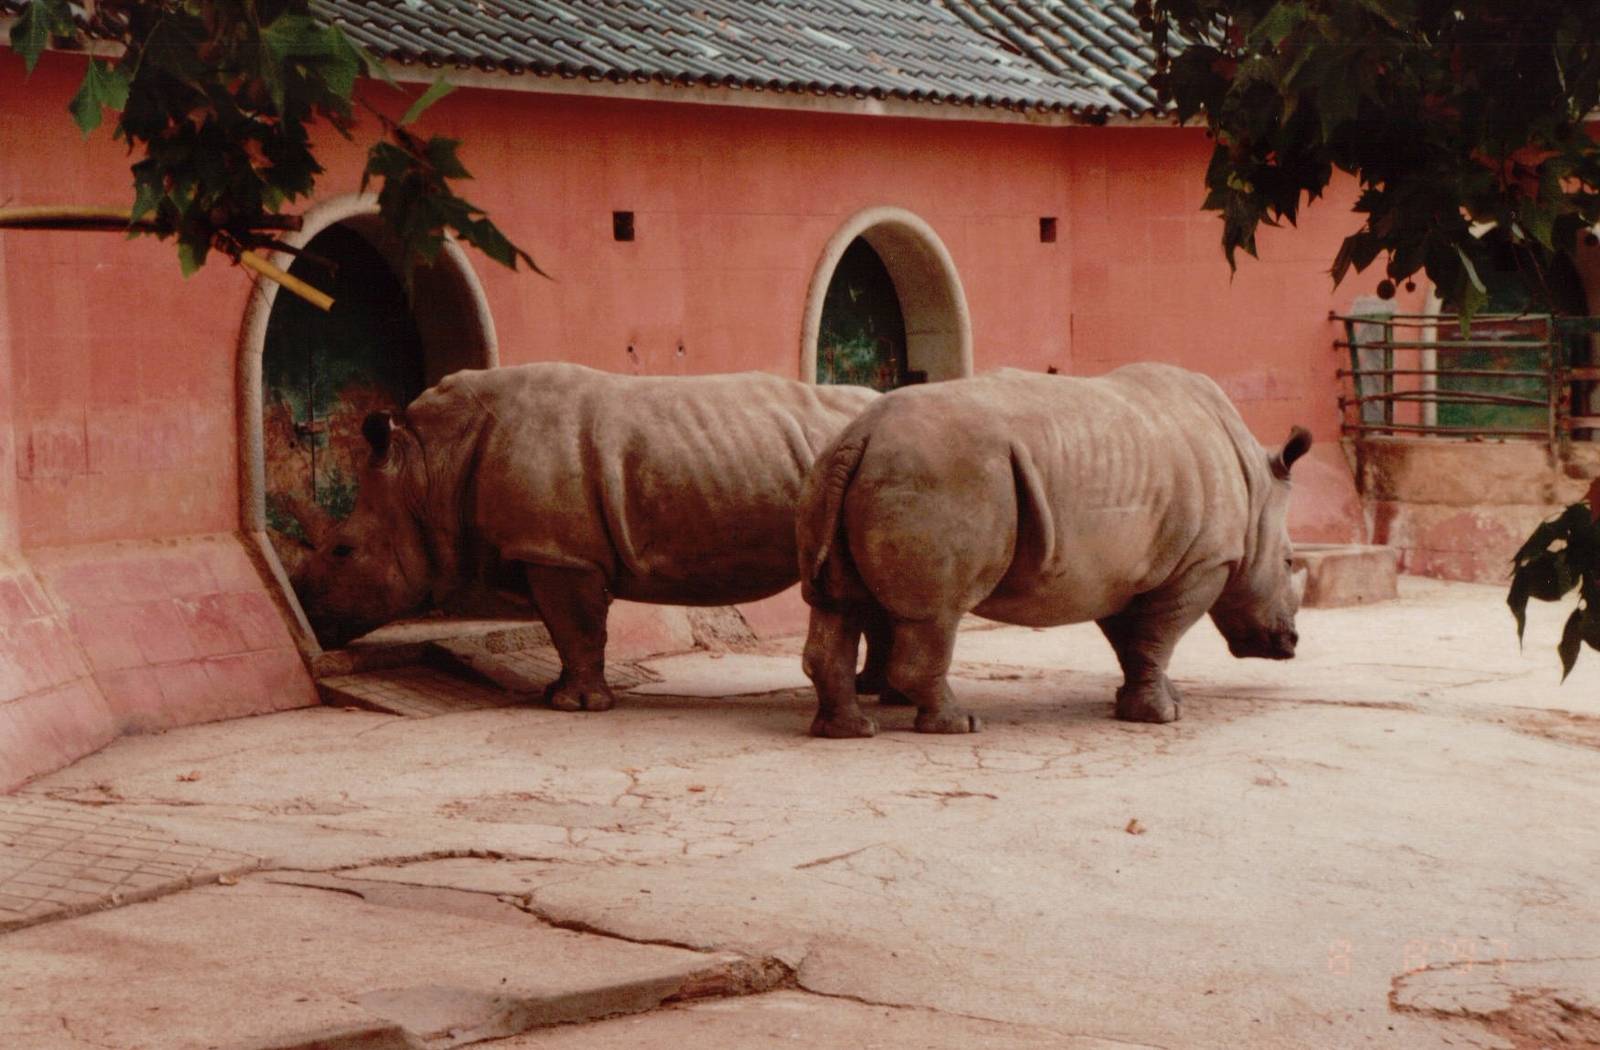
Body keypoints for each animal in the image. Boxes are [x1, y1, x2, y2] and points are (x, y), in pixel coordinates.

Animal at [296, 363, 881, 712]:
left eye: (342, 550)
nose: (313, 619)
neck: (424, 469)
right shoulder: (547, 549)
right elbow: (566, 629)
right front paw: (557, 693)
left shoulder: (558, 553)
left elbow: (574, 627)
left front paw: (573, 706)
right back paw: (872, 690)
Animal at [796, 363, 1311, 738]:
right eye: (1289, 563)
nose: (1289, 643)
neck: (1256, 488)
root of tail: (861, 434)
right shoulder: (1202, 564)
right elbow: (1160, 635)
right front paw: (1162, 716)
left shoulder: (1120, 573)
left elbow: (1134, 642)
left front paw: (1153, 699)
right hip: (941, 475)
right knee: (937, 614)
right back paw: (959, 725)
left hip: (830, 472)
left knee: (836, 604)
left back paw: (850, 730)